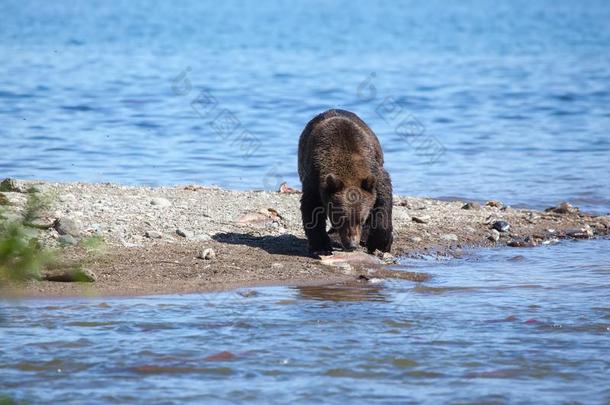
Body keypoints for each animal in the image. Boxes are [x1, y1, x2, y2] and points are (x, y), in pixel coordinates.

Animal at [296, 107, 392, 252]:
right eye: (341, 219)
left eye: (361, 219)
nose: (352, 245)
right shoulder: (314, 176)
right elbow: (311, 206)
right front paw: (321, 245)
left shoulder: (374, 171)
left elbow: (383, 198)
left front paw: (380, 242)